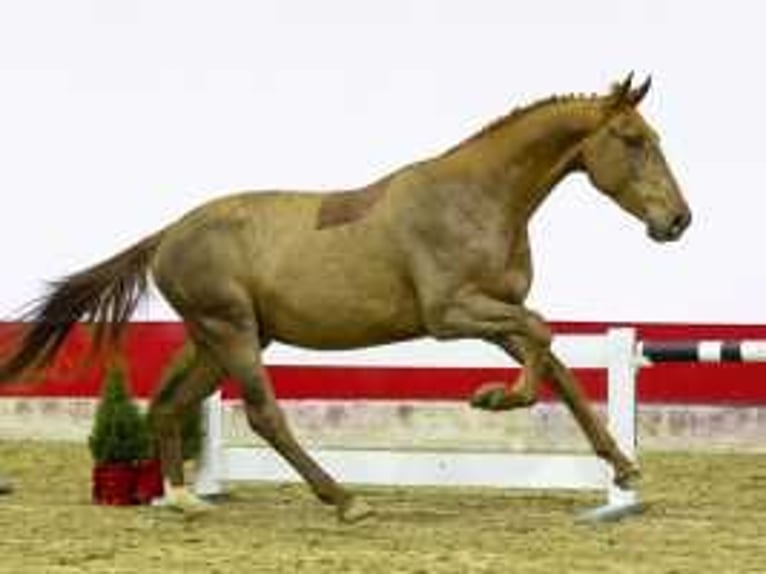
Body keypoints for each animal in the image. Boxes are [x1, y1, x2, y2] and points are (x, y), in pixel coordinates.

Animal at [0, 75, 692, 520]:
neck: (476, 199)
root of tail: (166, 234)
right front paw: (492, 399)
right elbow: (545, 335)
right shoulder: (451, 313)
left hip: (217, 337)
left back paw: (182, 499)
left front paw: (623, 467)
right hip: (231, 331)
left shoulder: (494, 315)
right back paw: (344, 500)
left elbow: (556, 365)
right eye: (632, 139)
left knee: (169, 404)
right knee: (263, 414)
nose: (679, 220)